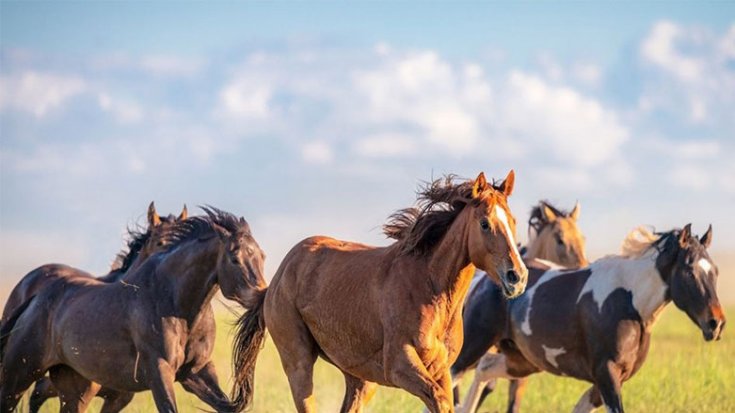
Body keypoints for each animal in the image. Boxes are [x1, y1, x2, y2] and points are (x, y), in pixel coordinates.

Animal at [230, 171, 528, 412]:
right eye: (485, 223)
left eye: (513, 221)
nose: (517, 276)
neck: (429, 289)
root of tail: (276, 280)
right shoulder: (399, 365)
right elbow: (440, 400)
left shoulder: (442, 370)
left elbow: (444, 400)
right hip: (298, 362)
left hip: (360, 377)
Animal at [458, 225, 728, 412]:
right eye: (690, 272)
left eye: (715, 271)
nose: (716, 324)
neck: (629, 303)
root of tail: (484, 279)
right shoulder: (607, 375)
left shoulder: (607, 382)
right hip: (474, 346)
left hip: (522, 361)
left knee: (484, 371)